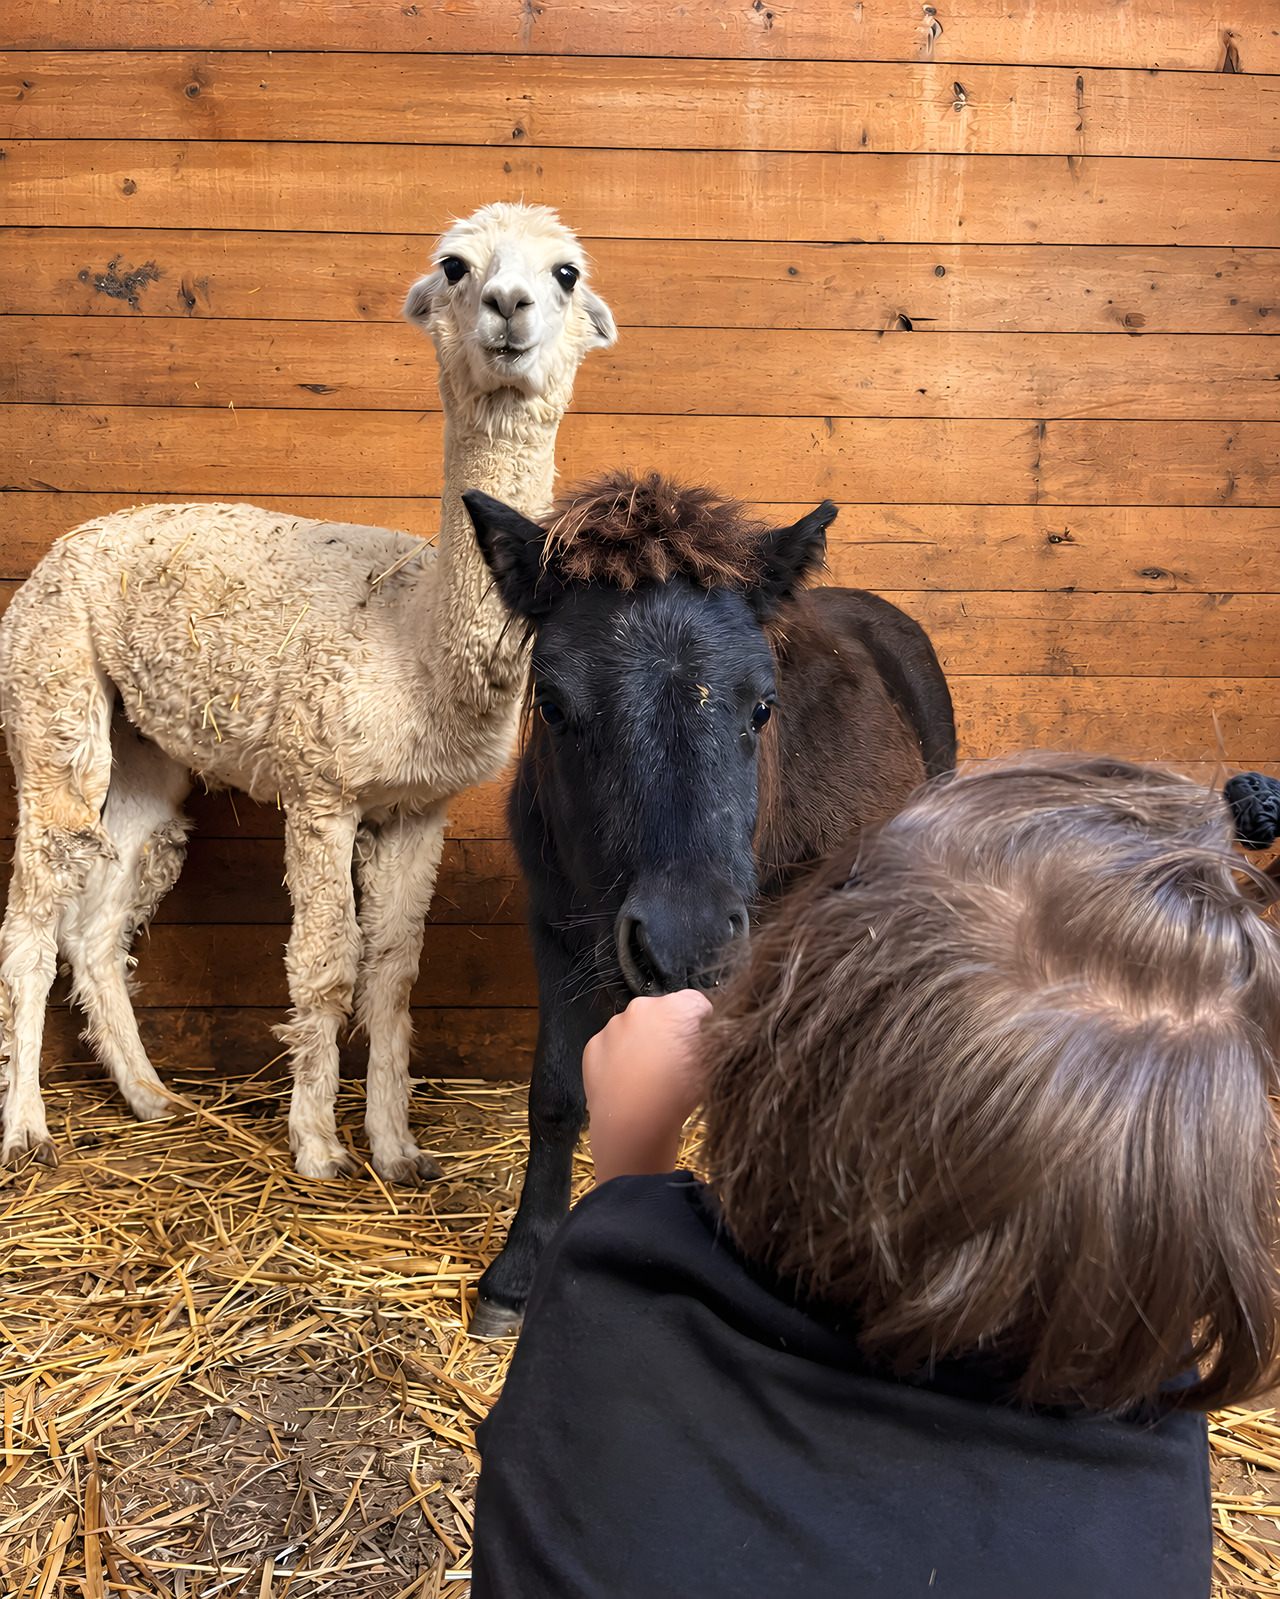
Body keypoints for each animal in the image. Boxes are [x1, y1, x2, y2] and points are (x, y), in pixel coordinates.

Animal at [461, 471, 957, 1336]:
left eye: (762, 705)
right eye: (552, 705)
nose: (683, 939)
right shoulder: (558, 932)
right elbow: (556, 1095)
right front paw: (516, 1274)